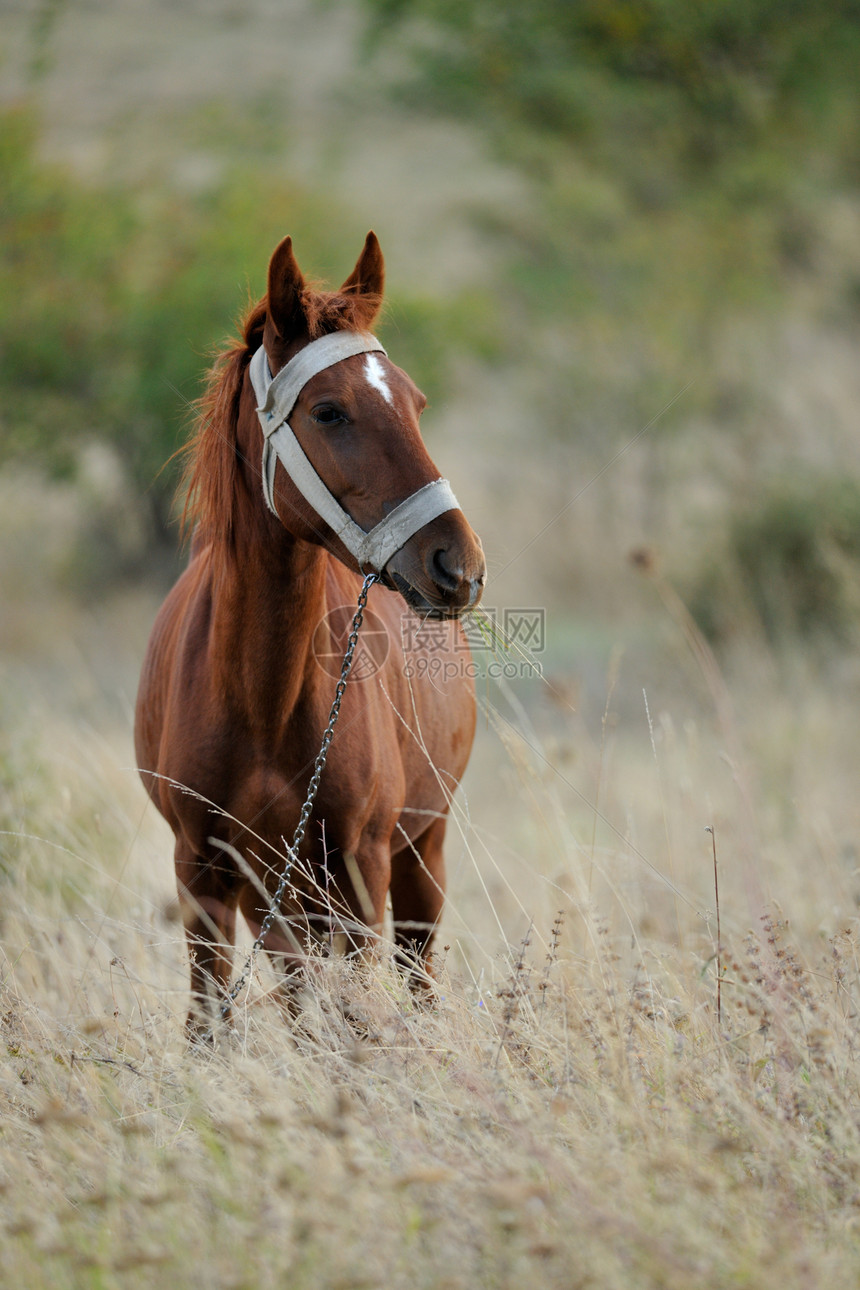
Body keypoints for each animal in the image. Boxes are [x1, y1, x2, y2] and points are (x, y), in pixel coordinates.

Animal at [133, 234, 484, 1037]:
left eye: (416, 403)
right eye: (329, 411)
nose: (459, 566)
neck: (260, 695)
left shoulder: (361, 871)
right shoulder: (203, 872)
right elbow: (211, 1025)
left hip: (421, 855)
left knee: (416, 976)